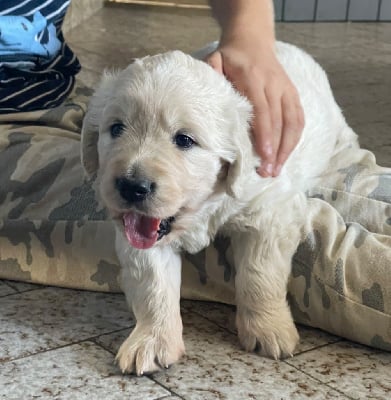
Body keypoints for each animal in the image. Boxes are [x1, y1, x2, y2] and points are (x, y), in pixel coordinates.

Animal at [81, 43, 360, 376]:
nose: (132, 186)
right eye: (116, 128)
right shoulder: (140, 234)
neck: (200, 210)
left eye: (184, 139)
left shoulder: (270, 211)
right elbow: (153, 285)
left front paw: (269, 330)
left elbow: (259, 275)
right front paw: (151, 341)